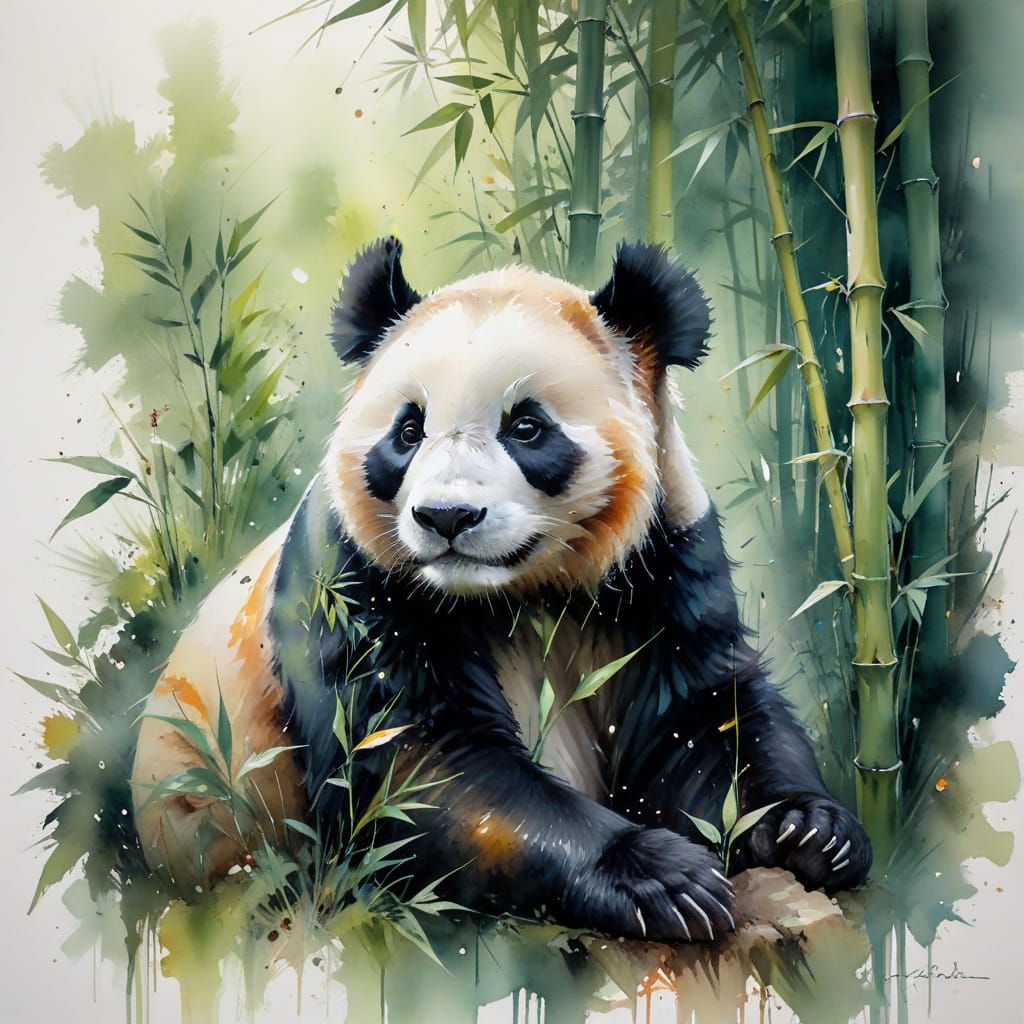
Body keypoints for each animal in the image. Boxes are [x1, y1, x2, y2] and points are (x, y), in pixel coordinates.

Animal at [131, 238, 871, 943]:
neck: (519, 589)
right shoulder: (352, 578)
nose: (446, 517)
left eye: (527, 426)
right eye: (408, 430)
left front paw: (812, 831)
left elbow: (701, 717)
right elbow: (421, 764)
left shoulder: (663, 566)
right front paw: (662, 879)